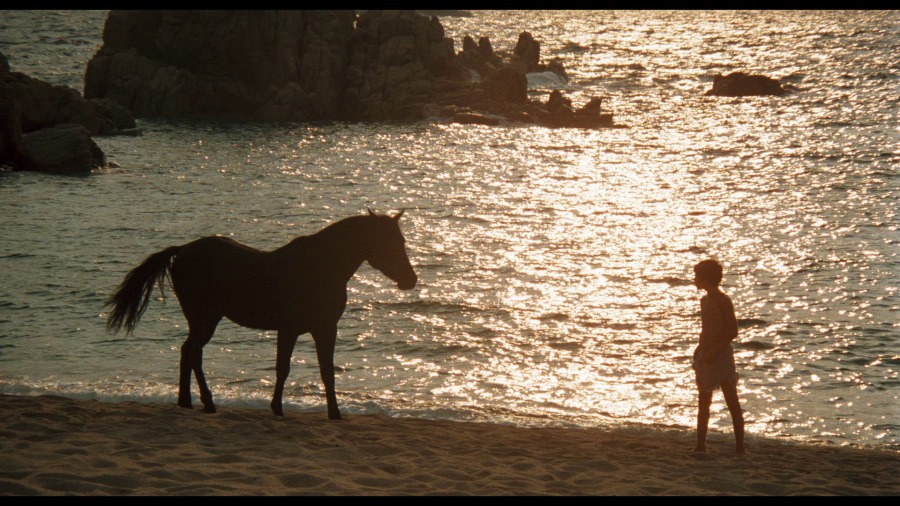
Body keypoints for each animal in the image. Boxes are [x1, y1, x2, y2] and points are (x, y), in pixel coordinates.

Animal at [105, 210, 417, 419]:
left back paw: (191, 402)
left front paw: (335, 413)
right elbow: (283, 368)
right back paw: (203, 401)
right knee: (191, 352)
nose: (410, 280)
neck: (319, 268)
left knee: (189, 353)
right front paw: (277, 408)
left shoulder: (326, 329)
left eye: (401, 241)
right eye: (388, 243)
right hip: (204, 319)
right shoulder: (289, 329)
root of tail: (182, 251)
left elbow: (327, 371)